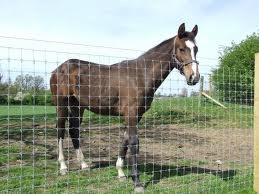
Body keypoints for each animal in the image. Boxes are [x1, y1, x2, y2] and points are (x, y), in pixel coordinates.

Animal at [50, 22, 201, 192]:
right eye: (181, 49)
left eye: (196, 49)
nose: (194, 77)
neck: (140, 75)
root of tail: (59, 69)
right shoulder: (132, 114)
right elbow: (134, 143)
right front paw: (137, 183)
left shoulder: (135, 115)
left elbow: (125, 140)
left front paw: (121, 173)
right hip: (61, 105)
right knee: (60, 130)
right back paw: (63, 166)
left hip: (78, 107)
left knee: (74, 130)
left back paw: (84, 165)